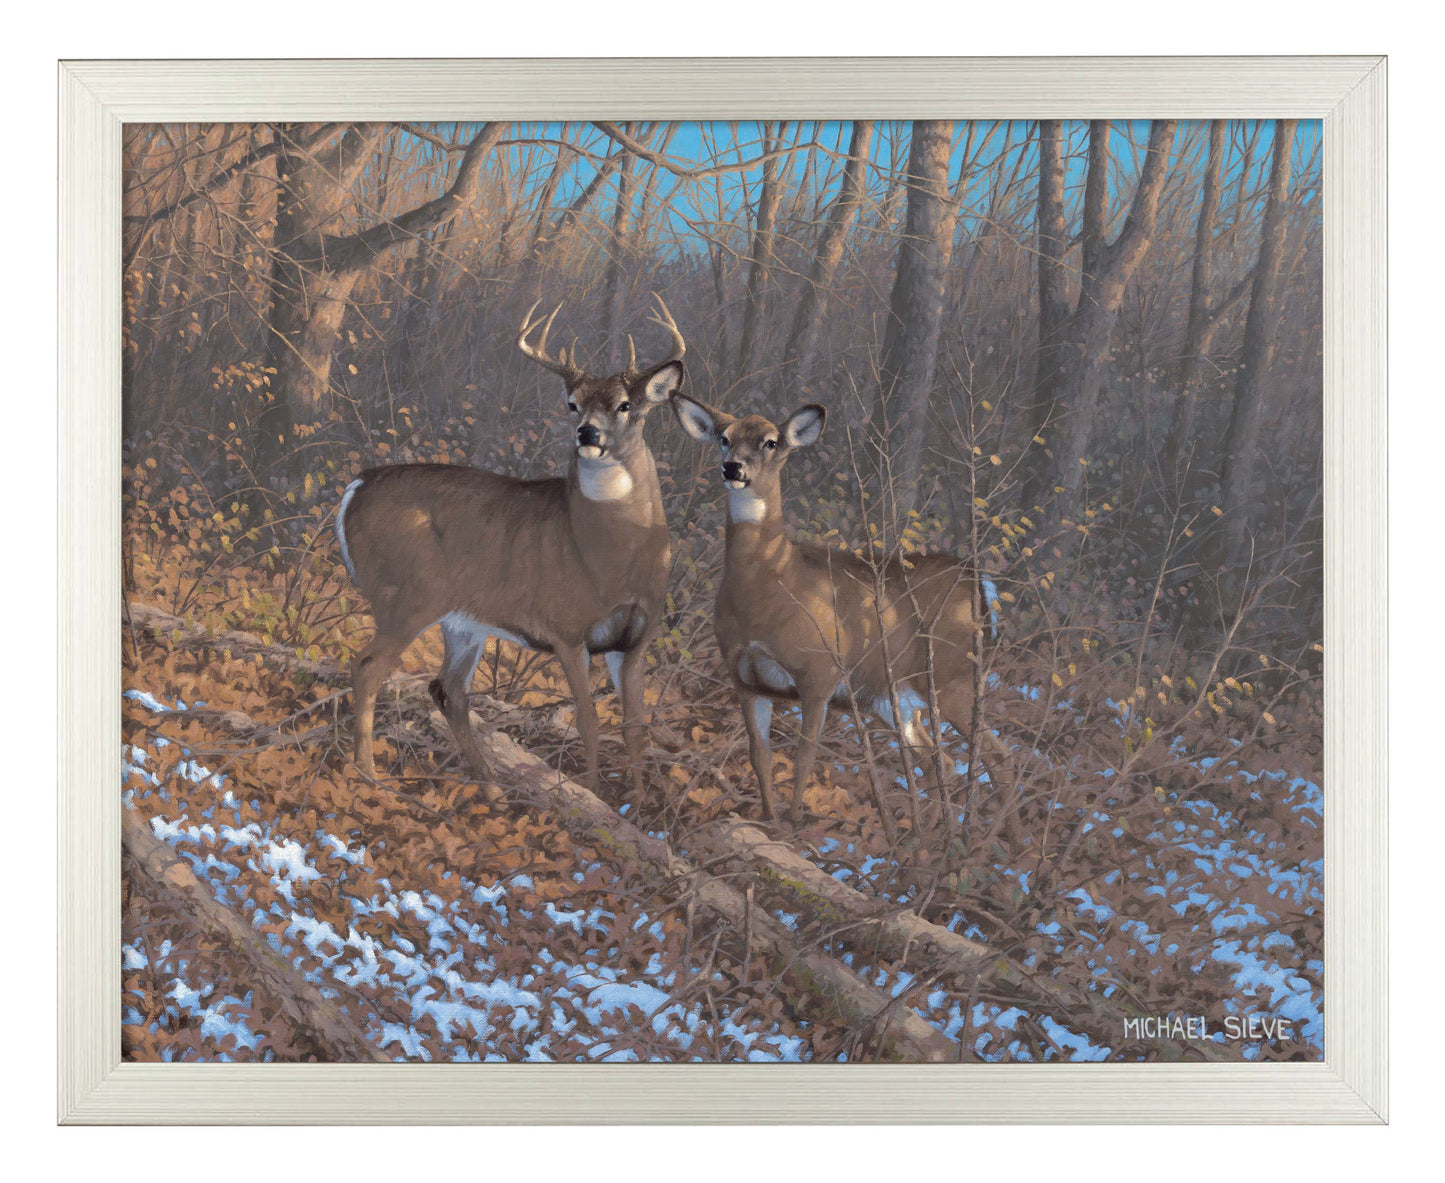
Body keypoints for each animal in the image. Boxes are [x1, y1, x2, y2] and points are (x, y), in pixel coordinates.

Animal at [336, 296, 686, 800]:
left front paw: (635, 803)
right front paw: (590, 794)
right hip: (406, 596)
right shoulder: (566, 628)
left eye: (625, 405)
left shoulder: (635, 639)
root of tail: (356, 487)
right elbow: (588, 720)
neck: (614, 560)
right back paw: (370, 776)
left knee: (447, 688)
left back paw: (491, 787)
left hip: (462, 619)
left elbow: (634, 726)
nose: (587, 434)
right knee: (367, 667)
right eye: (572, 404)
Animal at [670, 394, 1002, 824]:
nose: (733, 467)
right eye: (724, 438)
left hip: (952, 676)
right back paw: (924, 833)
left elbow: (803, 758)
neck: (772, 585)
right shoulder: (743, 679)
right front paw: (769, 819)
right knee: (937, 761)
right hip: (892, 697)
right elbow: (760, 756)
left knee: (995, 755)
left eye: (771, 442)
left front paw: (794, 823)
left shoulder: (819, 673)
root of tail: (979, 583)